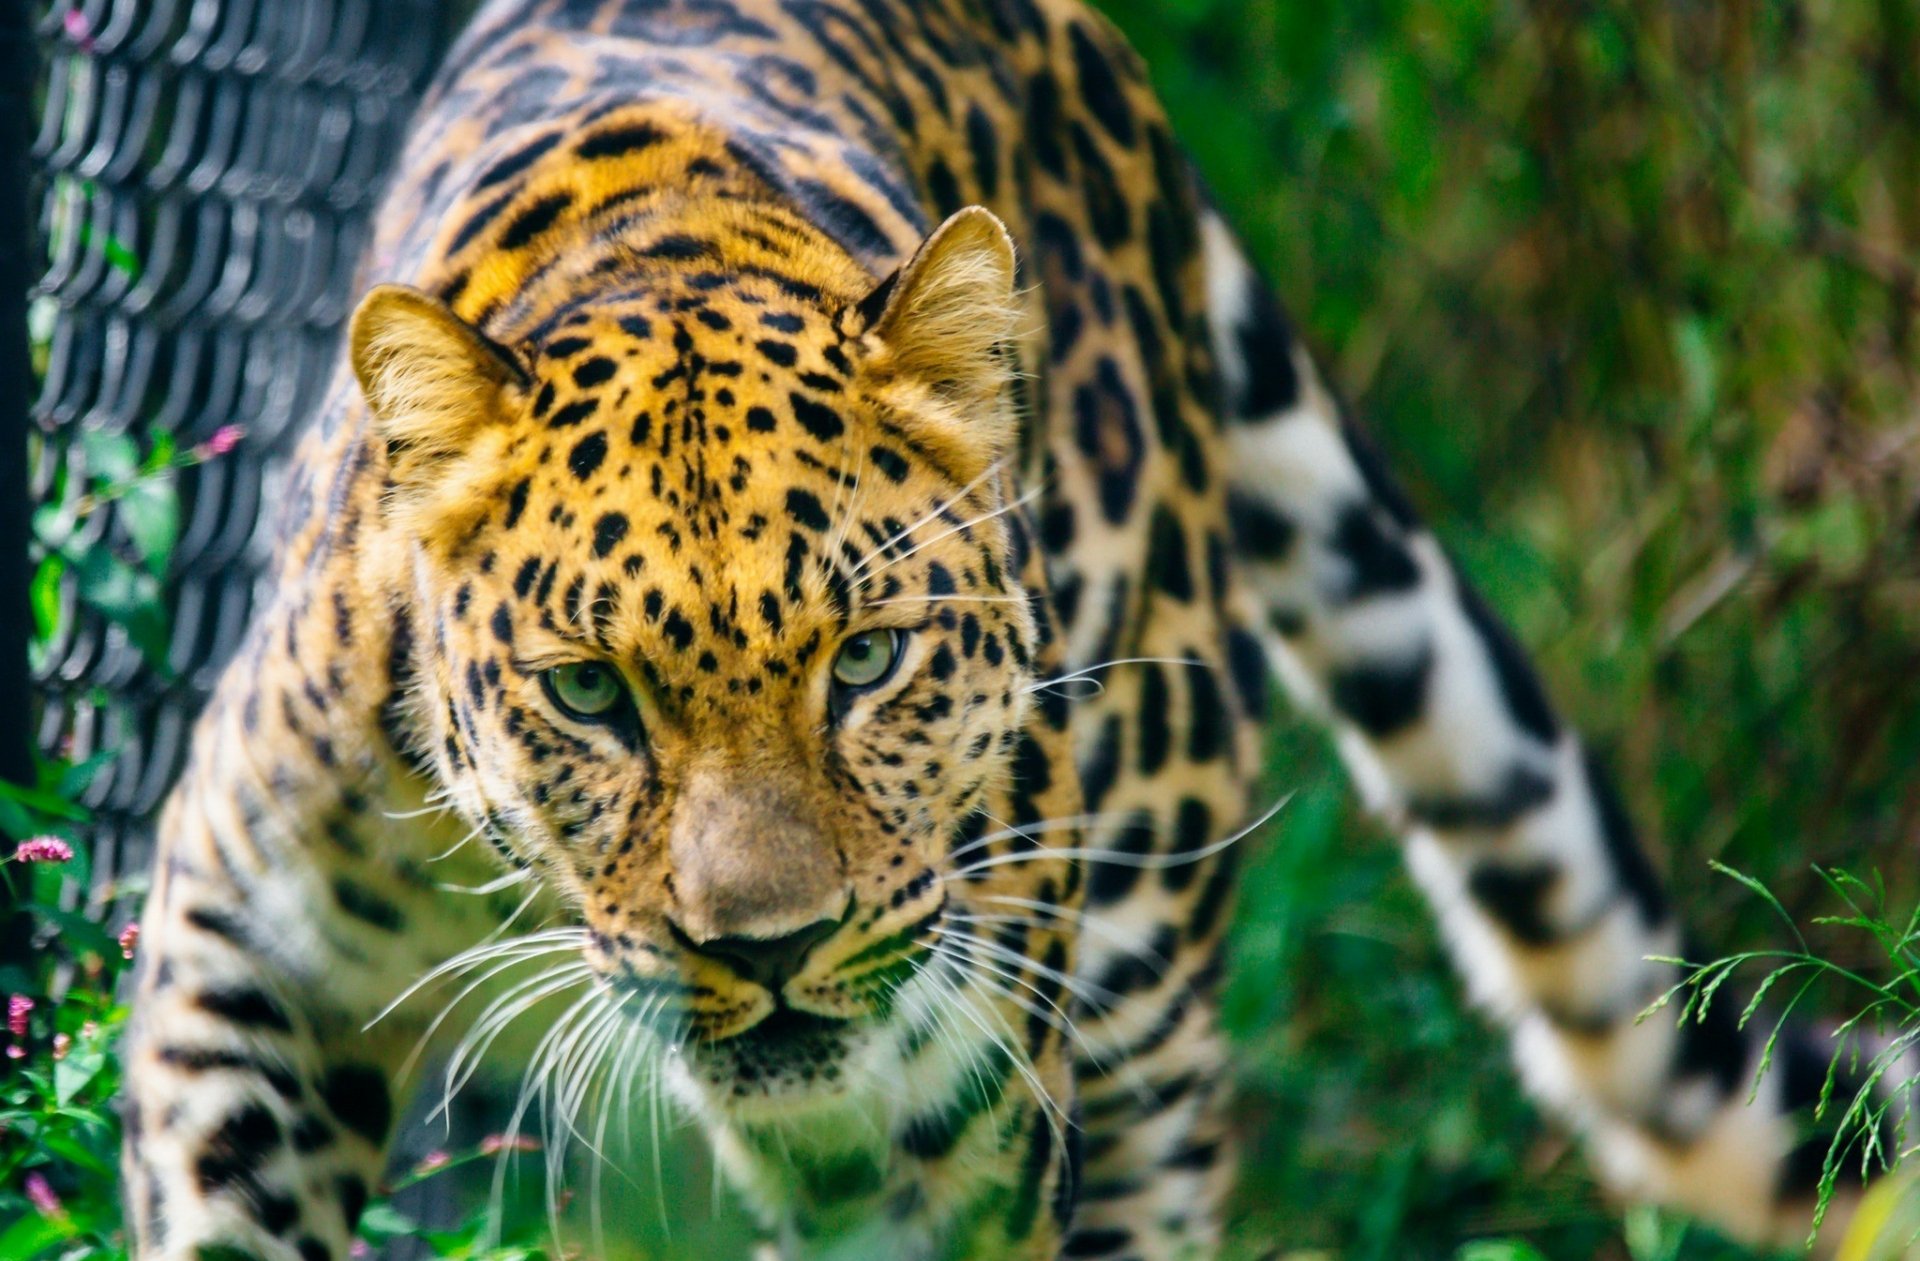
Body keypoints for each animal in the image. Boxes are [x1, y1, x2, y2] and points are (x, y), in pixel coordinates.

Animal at [118, 1, 1865, 1258]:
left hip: (1147, 956)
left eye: (868, 659)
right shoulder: (245, 934)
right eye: (593, 697)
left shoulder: (951, 1122)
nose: (767, 950)